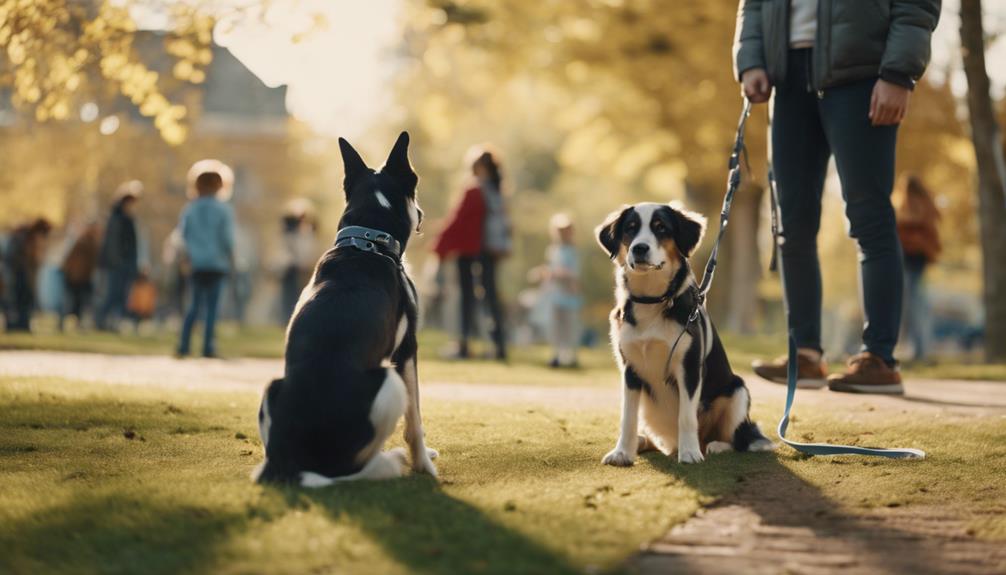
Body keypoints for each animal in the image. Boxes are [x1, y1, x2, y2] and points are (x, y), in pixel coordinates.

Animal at [251, 133, 436, 484]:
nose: (422, 211)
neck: (368, 241)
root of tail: (289, 462)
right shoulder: (407, 350)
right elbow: (415, 420)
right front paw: (425, 465)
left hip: (272, 385)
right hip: (388, 383)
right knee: (352, 470)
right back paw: (389, 462)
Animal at [591, 200, 772, 464]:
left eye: (661, 228)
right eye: (630, 228)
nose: (639, 248)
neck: (652, 300)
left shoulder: (689, 366)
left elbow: (686, 416)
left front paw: (690, 453)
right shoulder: (630, 369)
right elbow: (628, 417)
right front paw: (622, 452)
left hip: (738, 391)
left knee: (736, 438)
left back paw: (714, 446)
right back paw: (643, 442)